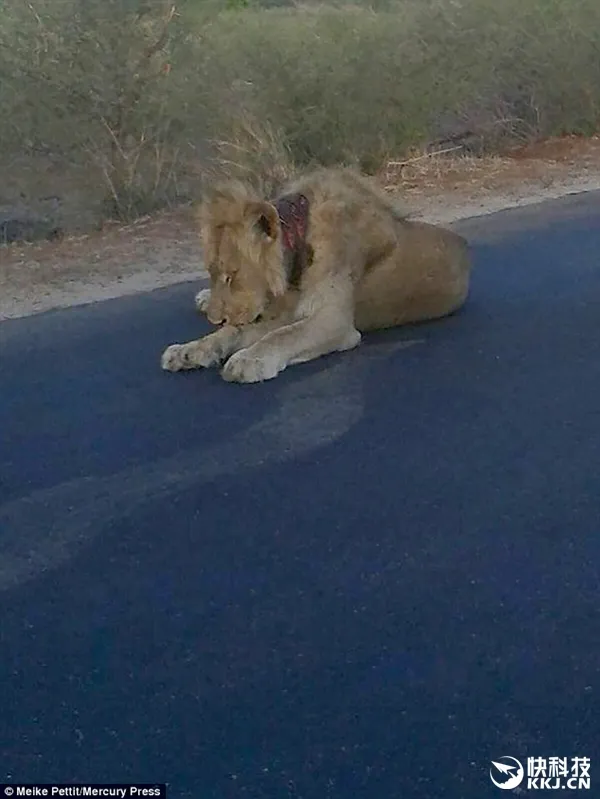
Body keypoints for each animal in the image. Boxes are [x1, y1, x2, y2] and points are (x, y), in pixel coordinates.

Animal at [161, 166, 474, 384]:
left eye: (231, 275)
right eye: (212, 273)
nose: (215, 318)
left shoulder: (333, 320)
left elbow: (282, 336)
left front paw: (248, 360)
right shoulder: (280, 311)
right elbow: (233, 332)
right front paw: (187, 351)